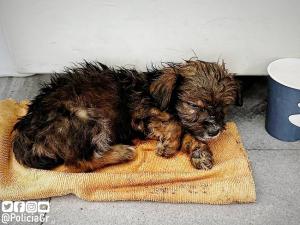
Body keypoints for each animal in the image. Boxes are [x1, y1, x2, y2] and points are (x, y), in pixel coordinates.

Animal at [12, 59, 240, 171]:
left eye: (223, 107)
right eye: (193, 105)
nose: (215, 131)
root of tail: (25, 136)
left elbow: (188, 133)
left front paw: (200, 153)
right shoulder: (141, 113)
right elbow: (175, 123)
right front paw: (169, 147)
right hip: (84, 117)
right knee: (79, 162)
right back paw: (123, 152)